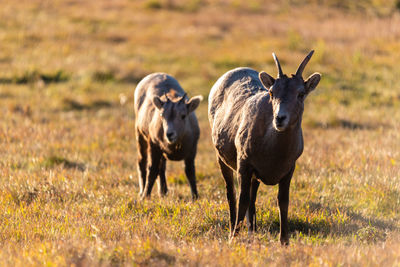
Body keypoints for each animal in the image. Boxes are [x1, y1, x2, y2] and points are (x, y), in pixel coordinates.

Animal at [134, 73, 203, 201]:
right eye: (161, 115)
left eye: (183, 115)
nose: (169, 134)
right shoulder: (154, 145)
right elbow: (152, 169)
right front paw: (145, 196)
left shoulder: (192, 149)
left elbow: (190, 171)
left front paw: (195, 197)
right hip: (140, 134)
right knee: (142, 162)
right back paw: (142, 191)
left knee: (162, 167)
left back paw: (163, 191)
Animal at [208, 51, 320, 246]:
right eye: (272, 92)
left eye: (300, 93)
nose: (280, 118)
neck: (272, 151)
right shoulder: (244, 164)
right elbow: (242, 200)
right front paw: (233, 239)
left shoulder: (289, 168)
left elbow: (283, 201)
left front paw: (284, 241)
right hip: (221, 158)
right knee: (231, 193)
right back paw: (233, 228)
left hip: (255, 176)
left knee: (253, 197)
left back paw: (252, 231)